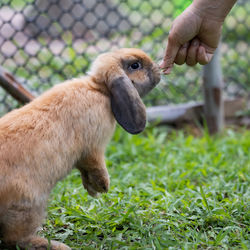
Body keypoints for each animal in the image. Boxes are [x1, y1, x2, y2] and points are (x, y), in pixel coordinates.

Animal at [0, 47, 160, 249]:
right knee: (15, 239)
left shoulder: (82, 156)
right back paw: (56, 245)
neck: (99, 90)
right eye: (135, 65)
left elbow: (85, 171)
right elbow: (96, 167)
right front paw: (103, 187)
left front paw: (92, 190)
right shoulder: (93, 148)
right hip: (29, 206)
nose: (158, 70)